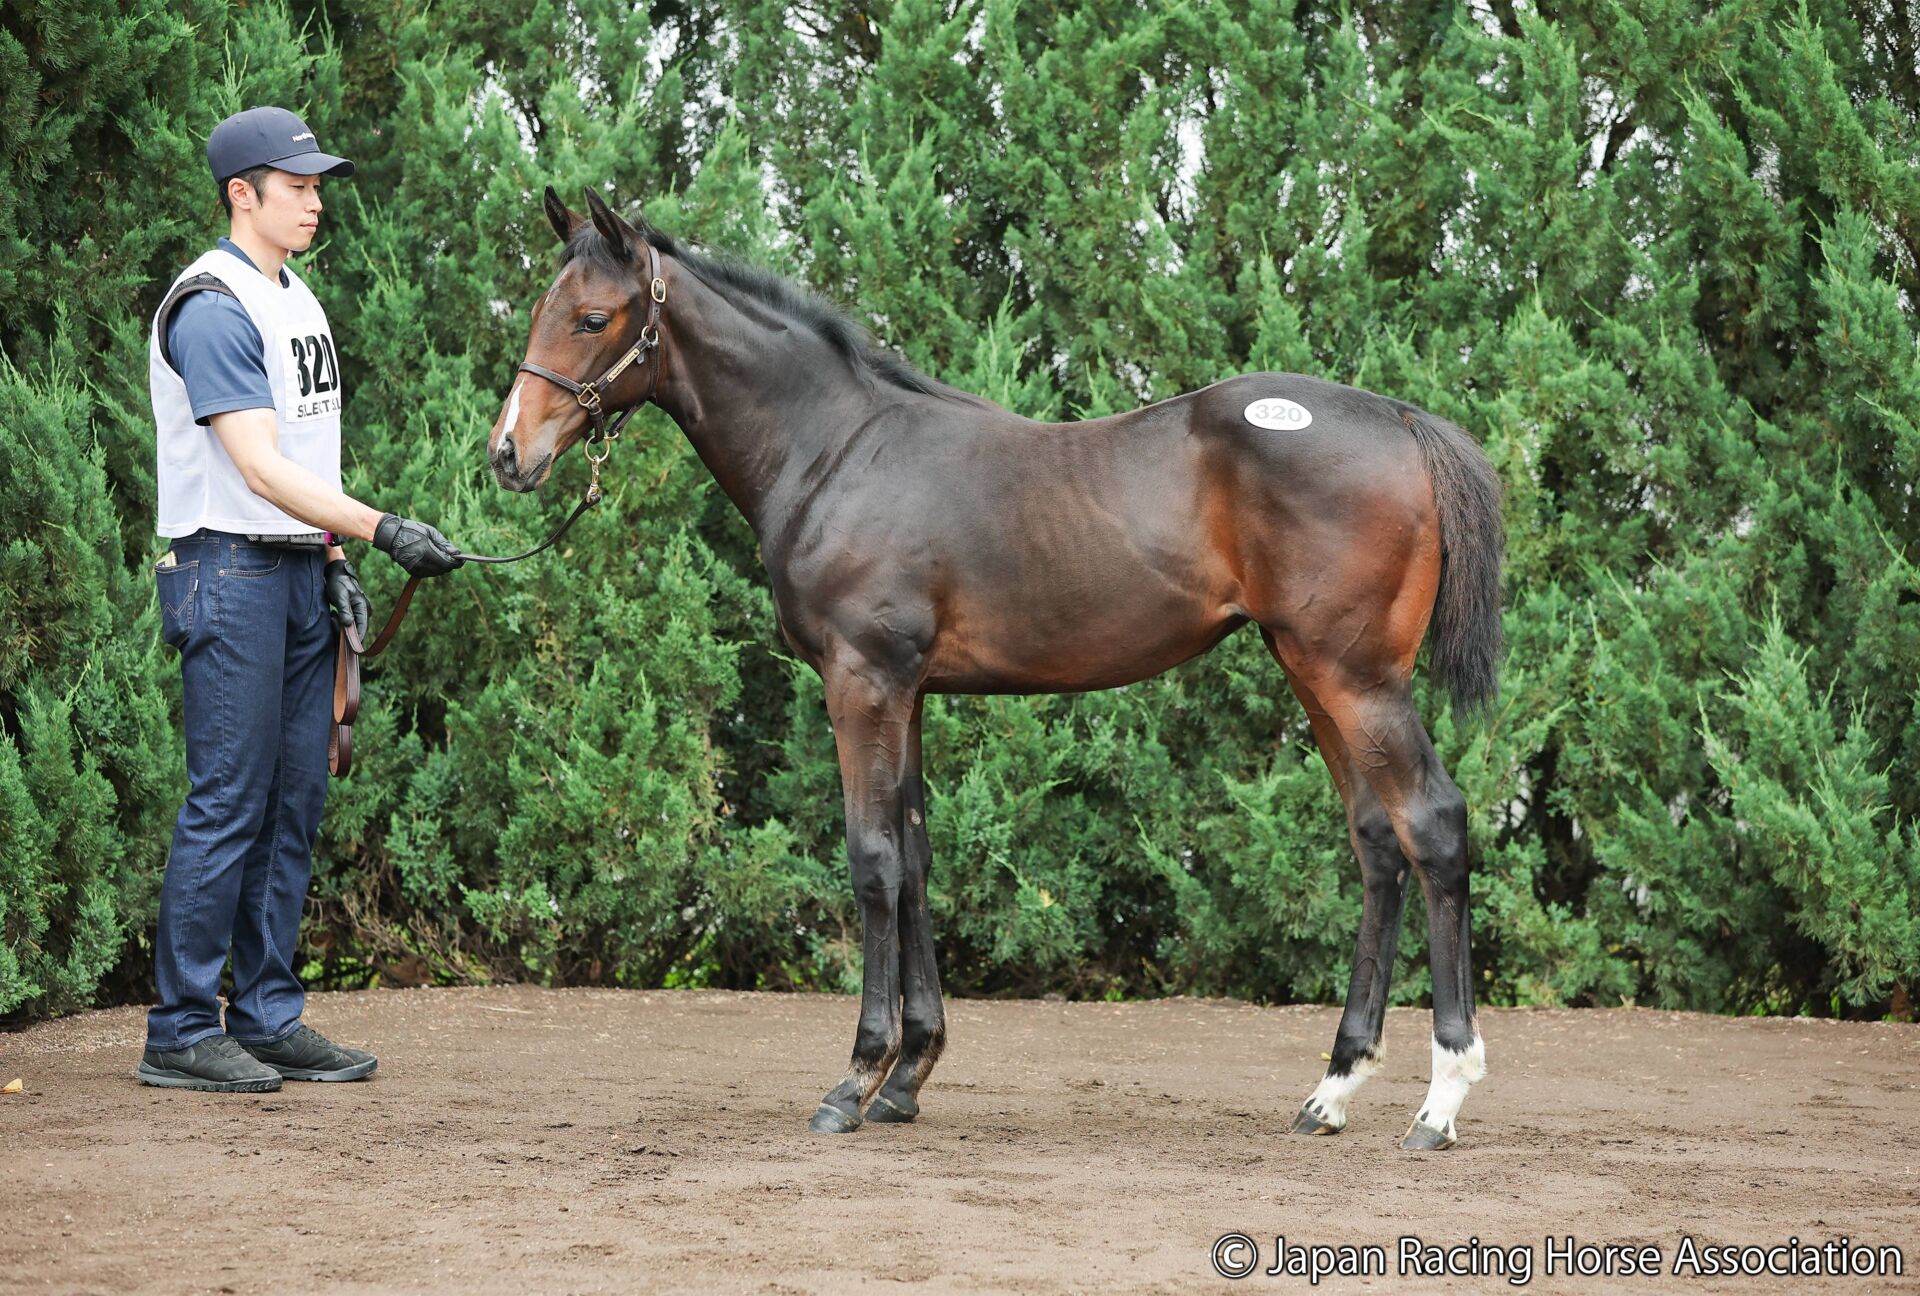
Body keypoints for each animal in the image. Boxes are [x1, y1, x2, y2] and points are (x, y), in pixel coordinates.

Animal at [489, 187, 1505, 1151]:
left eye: (592, 318)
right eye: (540, 308)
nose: (508, 453)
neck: (837, 451)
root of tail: (1402, 418)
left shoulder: (862, 682)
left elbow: (871, 861)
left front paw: (853, 1083)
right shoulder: (910, 693)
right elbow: (915, 858)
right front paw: (908, 1077)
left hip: (1356, 678)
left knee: (1434, 824)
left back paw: (1442, 1100)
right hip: (1309, 670)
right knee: (1378, 843)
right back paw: (1331, 1092)